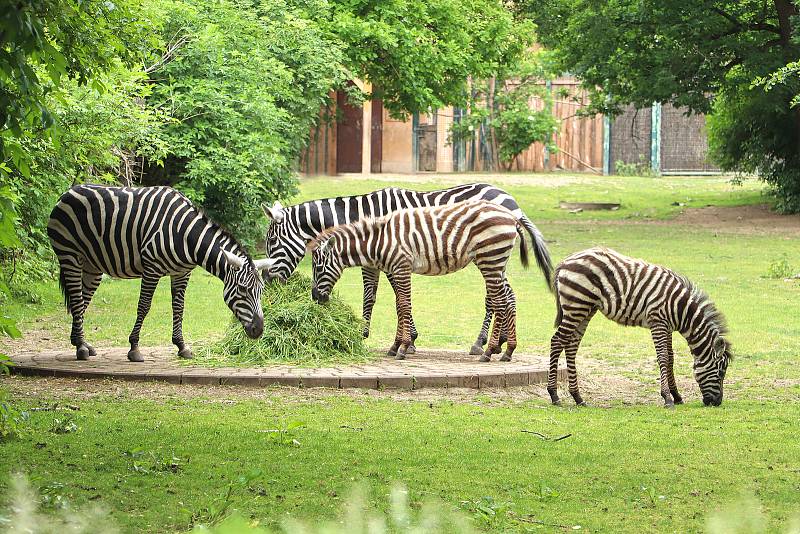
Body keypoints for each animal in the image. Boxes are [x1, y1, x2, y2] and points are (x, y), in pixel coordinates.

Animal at [50, 185, 276, 364]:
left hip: (92, 266)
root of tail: (69, 191)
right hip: (69, 255)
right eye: (243, 290)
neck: (185, 236)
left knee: (82, 301)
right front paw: (134, 348)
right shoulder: (152, 269)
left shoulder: (182, 273)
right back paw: (81, 348)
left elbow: (179, 308)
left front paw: (182, 346)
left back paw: (82, 343)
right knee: (77, 301)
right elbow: (144, 306)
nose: (259, 330)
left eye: (260, 292)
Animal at [310, 202, 540, 364]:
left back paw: (489, 351)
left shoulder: (401, 266)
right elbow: (399, 306)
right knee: (508, 300)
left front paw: (402, 348)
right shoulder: (396, 269)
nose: (315, 298)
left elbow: (404, 305)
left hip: (490, 259)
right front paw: (396, 346)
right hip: (497, 262)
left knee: (500, 301)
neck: (380, 240)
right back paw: (508, 350)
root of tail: (512, 217)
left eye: (319, 268)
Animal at [552, 248, 732, 410]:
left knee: (571, 345)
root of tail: (566, 260)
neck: (681, 309)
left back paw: (578, 397)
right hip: (577, 305)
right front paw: (667, 398)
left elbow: (671, 358)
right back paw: (554, 395)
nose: (717, 403)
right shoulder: (658, 322)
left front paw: (677, 395)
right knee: (557, 341)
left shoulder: (668, 327)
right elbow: (663, 358)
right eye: (721, 373)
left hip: (586, 309)